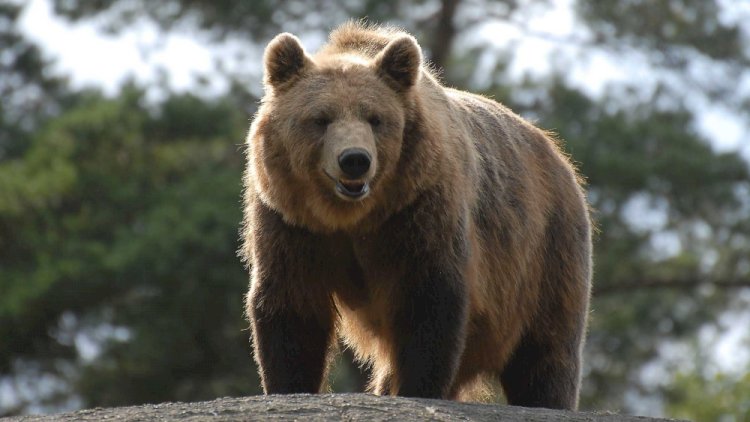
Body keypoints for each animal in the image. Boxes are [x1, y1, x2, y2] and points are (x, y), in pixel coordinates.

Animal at [241, 22, 592, 408]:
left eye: (375, 118)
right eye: (320, 118)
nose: (354, 159)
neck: (352, 216)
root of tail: (557, 153)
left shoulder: (418, 210)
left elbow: (428, 300)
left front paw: (418, 388)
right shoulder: (291, 221)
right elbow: (292, 304)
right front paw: (288, 384)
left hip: (542, 253)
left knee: (545, 350)